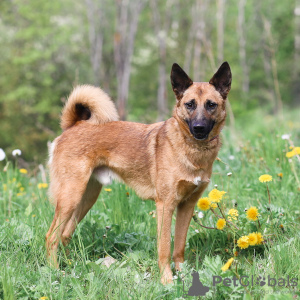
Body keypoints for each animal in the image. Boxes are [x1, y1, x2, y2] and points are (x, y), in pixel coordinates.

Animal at [45, 61, 232, 284]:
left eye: (211, 105)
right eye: (190, 104)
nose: (199, 128)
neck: (192, 151)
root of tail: (73, 125)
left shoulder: (187, 206)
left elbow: (179, 247)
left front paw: (183, 275)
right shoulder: (165, 205)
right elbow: (164, 248)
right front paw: (167, 281)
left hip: (85, 198)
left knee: (64, 235)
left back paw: (70, 266)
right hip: (70, 198)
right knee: (51, 237)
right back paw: (55, 272)